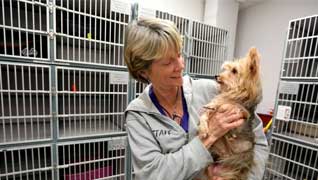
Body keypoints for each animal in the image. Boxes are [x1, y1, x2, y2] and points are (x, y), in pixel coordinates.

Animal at [199, 47, 264, 179]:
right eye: (226, 69)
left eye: (234, 71)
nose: (216, 76)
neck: (233, 93)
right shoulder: (211, 110)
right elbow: (204, 115)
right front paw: (203, 129)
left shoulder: (241, 116)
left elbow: (231, 106)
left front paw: (222, 105)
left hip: (244, 150)